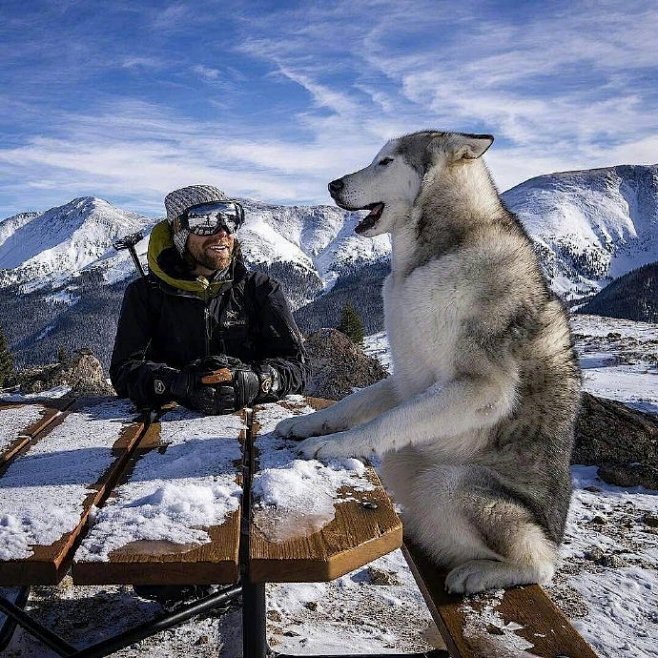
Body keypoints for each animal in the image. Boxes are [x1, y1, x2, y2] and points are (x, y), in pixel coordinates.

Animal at [274, 131, 576, 592]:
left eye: (385, 162)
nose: (332, 185)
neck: (433, 255)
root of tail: (554, 536)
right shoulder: (406, 379)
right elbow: (354, 404)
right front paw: (306, 424)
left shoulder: (480, 387)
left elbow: (384, 422)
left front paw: (332, 445)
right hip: (409, 465)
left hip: (448, 484)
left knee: (538, 564)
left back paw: (479, 573)